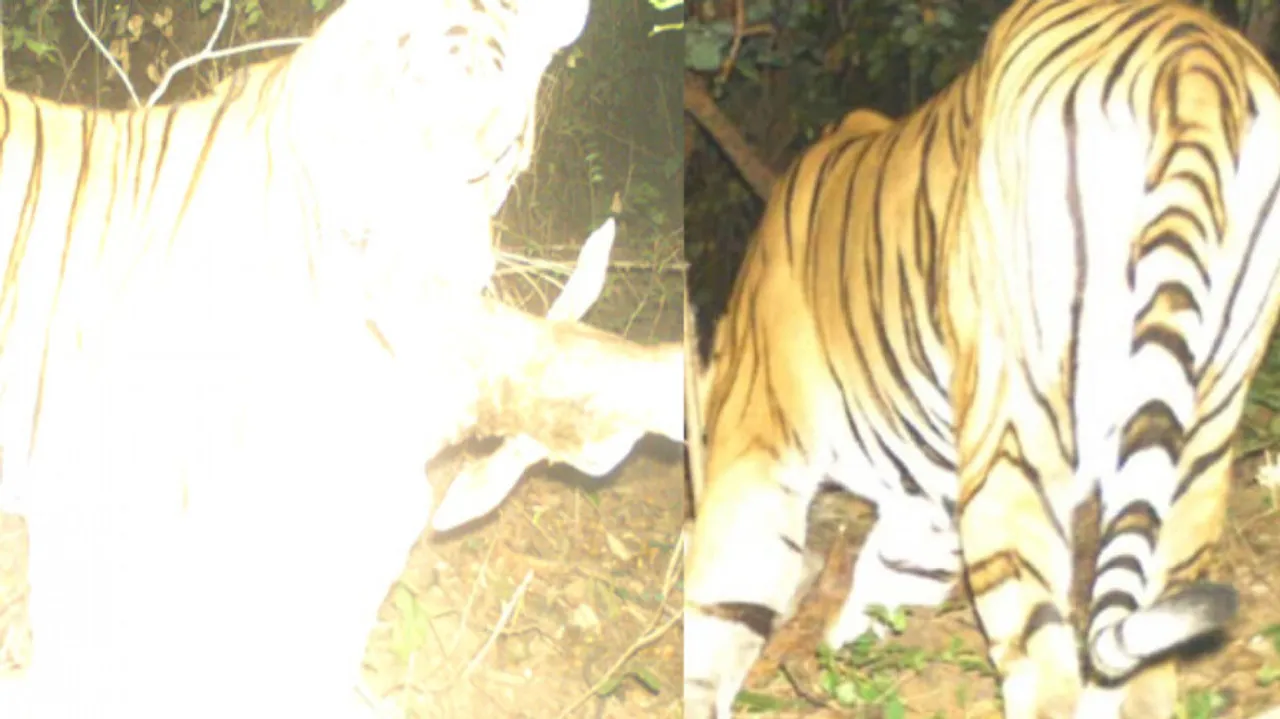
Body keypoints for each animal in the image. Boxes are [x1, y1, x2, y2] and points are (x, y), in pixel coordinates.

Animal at [683, 1, 1280, 717]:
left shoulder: (763, 443)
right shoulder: (925, 500)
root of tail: (1194, 59)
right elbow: (883, 585)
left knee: (1046, 668)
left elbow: (722, 606)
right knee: (1148, 666)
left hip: (1017, 419)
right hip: (1205, 421)